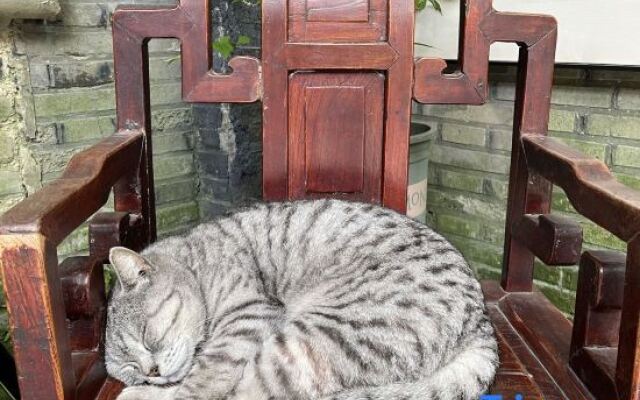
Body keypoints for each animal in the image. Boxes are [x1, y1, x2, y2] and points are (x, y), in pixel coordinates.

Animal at [105, 200, 498, 400]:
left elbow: (201, 382)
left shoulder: (248, 315)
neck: (195, 259)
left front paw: (152, 393)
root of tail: (481, 323)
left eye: (148, 337)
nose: (151, 374)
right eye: (131, 369)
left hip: (302, 341)